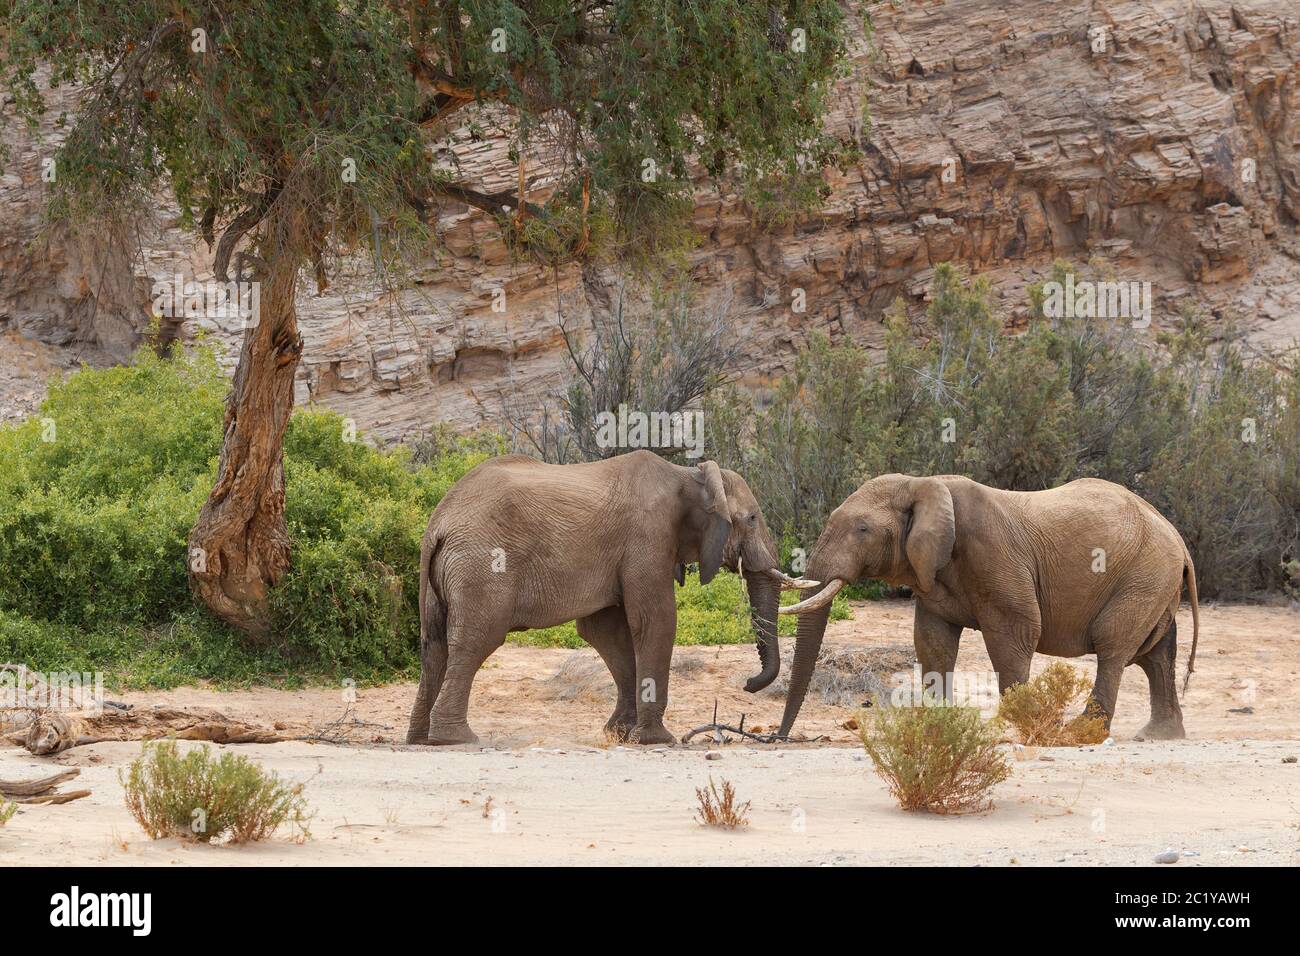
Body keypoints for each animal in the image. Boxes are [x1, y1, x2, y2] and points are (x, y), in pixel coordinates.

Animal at [405, 450, 811, 749]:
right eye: (753, 518)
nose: (748, 684)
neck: (688, 474)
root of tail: (438, 524)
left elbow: (606, 632)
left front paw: (619, 734)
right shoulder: (648, 536)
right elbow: (656, 620)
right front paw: (656, 740)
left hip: (443, 577)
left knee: (434, 645)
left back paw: (421, 739)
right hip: (482, 567)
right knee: (476, 641)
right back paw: (457, 739)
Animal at [764, 476, 1201, 738]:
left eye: (862, 529)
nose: (778, 738)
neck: (922, 484)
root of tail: (1178, 540)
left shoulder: (993, 552)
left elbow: (1015, 634)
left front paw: (1021, 724)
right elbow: (933, 642)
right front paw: (937, 724)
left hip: (1144, 574)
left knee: (1113, 648)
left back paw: (1081, 734)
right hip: (1154, 581)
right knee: (1154, 655)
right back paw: (1158, 736)